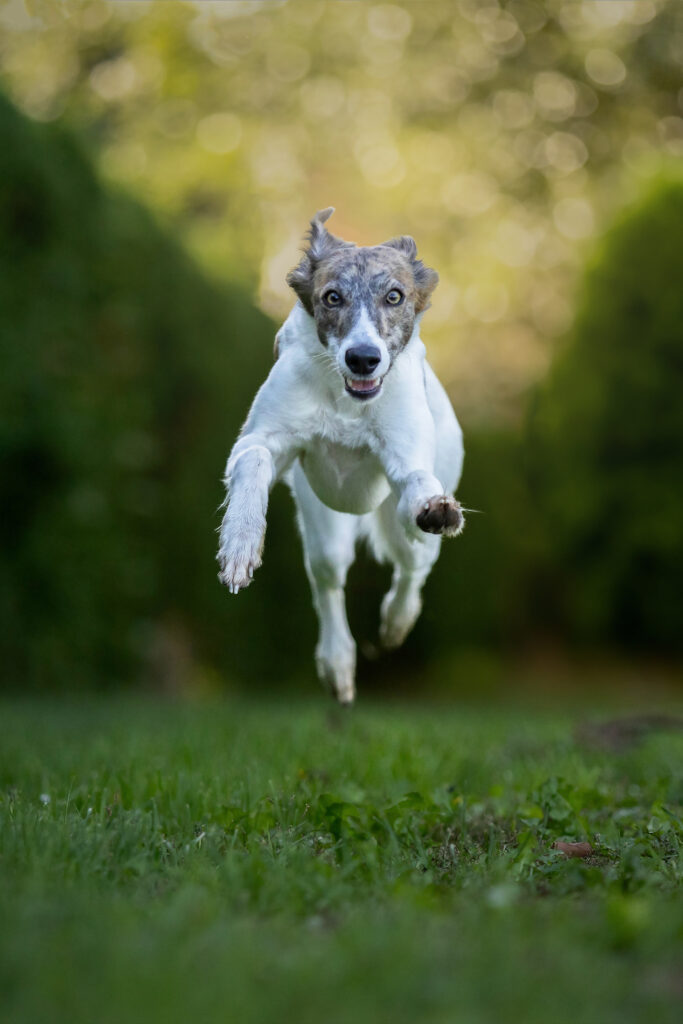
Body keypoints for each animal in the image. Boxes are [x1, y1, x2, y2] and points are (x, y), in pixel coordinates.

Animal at [219, 207, 464, 704]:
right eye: (332, 297)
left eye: (395, 295)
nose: (363, 358)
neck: (348, 404)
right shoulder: (259, 439)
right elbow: (254, 458)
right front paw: (240, 545)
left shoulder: (408, 460)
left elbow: (418, 484)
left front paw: (435, 508)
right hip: (323, 526)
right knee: (329, 581)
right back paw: (337, 665)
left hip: (407, 528)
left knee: (413, 565)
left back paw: (395, 622)